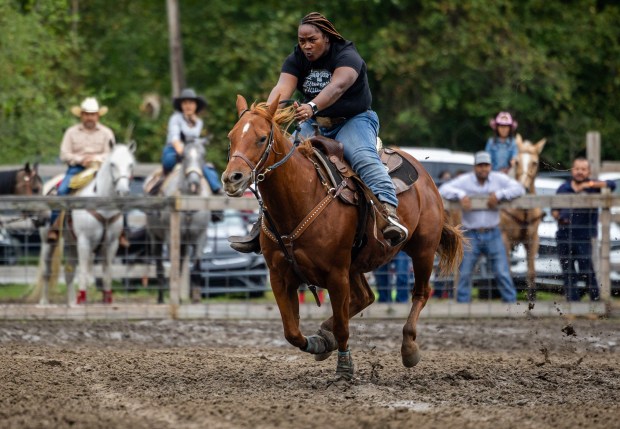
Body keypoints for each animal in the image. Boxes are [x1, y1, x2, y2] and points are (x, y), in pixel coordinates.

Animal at [39, 143, 136, 304]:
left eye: (131, 164)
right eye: (112, 164)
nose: (123, 191)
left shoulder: (112, 243)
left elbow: (107, 272)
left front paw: (107, 299)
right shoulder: (84, 241)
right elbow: (84, 271)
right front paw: (82, 298)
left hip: (71, 243)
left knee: (69, 270)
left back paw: (71, 302)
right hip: (48, 241)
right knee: (47, 270)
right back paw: (44, 302)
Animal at [147, 140, 212, 304]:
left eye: (203, 155)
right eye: (183, 156)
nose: (194, 183)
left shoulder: (200, 236)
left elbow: (196, 266)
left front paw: (196, 297)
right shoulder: (170, 237)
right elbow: (172, 267)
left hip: (183, 241)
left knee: (182, 263)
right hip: (155, 237)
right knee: (160, 266)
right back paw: (161, 297)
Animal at [220, 96, 462, 378]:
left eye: (260, 138)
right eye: (231, 137)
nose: (232, 178)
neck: (299, 197)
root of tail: (425, 178)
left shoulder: (336, 274)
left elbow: (343, 326)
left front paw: (345, 367)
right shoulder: (280, 275)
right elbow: (292, 331)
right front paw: (318, 342)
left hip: (423, 248)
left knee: (421, 292)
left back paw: (409, 347)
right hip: (356, 264)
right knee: (366, 297)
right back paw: (326, 336)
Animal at [502, 134, 544, 300]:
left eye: (535, 162)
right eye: (517, 162)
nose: (523, 188)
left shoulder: (533, 239)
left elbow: (531, 272)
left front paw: (531, 298)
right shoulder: (505, 238)